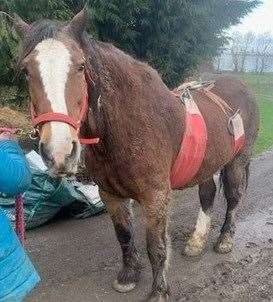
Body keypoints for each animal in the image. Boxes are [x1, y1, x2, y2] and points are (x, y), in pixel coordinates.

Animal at [10, 8, 258, 300]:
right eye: (27, 71)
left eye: (80, 67)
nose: (59, 151)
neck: (130, 125)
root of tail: (239, 85)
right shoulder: (111, 194)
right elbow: (124, 234)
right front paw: (128, 276)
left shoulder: (155, 197)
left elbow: (156, 246)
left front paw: (158, 291)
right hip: (206, 163)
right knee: (207, 195)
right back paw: (196, 242)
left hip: (237, 161)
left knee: (233, 198)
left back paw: (224, 240)